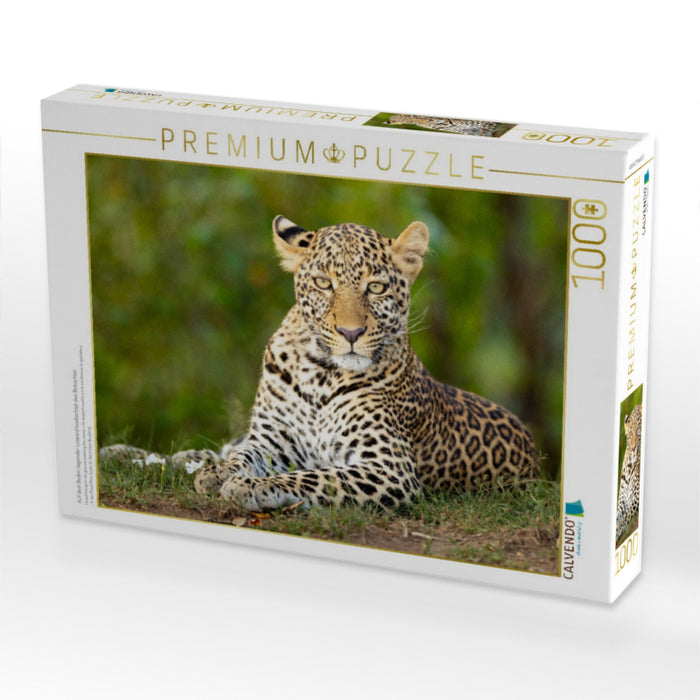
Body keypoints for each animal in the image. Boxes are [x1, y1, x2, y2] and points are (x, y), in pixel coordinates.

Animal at [101, 216, 539, 513]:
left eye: (375, 287)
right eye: (324, 284)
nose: (350, 332)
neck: (320, 374)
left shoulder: (388, 468)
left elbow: (318, 477)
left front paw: (250, 487)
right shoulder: (272, 439)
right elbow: (243, 456)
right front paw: (222, 474)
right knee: (217, 447)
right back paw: (126, 453)